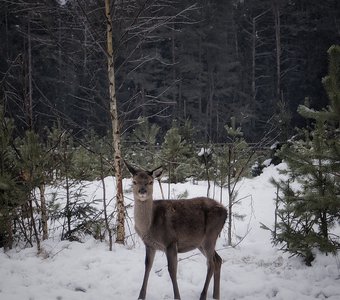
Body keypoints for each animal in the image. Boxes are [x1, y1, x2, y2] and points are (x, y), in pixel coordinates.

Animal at [125, 162, 228, 300]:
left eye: (151, 182)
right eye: (134, 181)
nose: (142, 191)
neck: (149, 226)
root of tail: (226, 211)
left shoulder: (170, 241)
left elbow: (172, 270)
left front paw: (177, 297)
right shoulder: (150, 245)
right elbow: (147, 266)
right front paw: (140, 296)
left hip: (211, 235)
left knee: (210, 263)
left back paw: (203, 295)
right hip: (200, 242)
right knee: (218, 260)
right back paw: (216, 295)